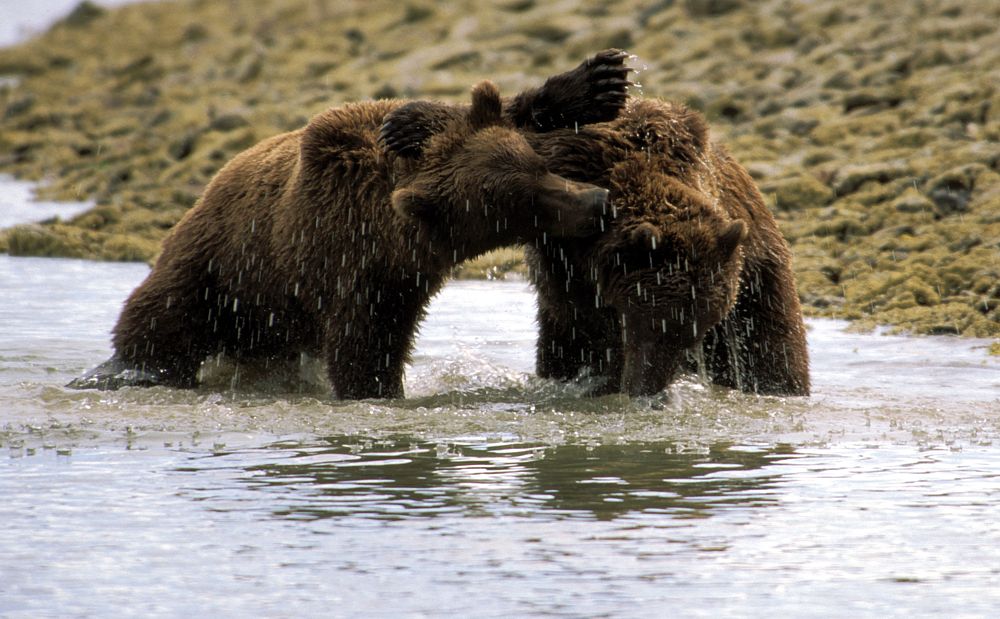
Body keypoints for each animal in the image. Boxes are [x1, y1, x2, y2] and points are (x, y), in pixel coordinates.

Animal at [66, 52, 632, 402]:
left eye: (540, 166)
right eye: (520, 205)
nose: (597, 201)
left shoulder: (401, 276)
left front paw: (595, 82)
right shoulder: (352, 273)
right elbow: (364, 357)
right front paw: (380, 394)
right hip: (214, 275)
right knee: (160, 327)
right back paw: (126, 369)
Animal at [528, 98, 808, 398]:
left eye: (695, 330)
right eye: (650, 322)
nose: (647, 387)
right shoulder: (565, 255)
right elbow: (590, 323)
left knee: (775, 350)